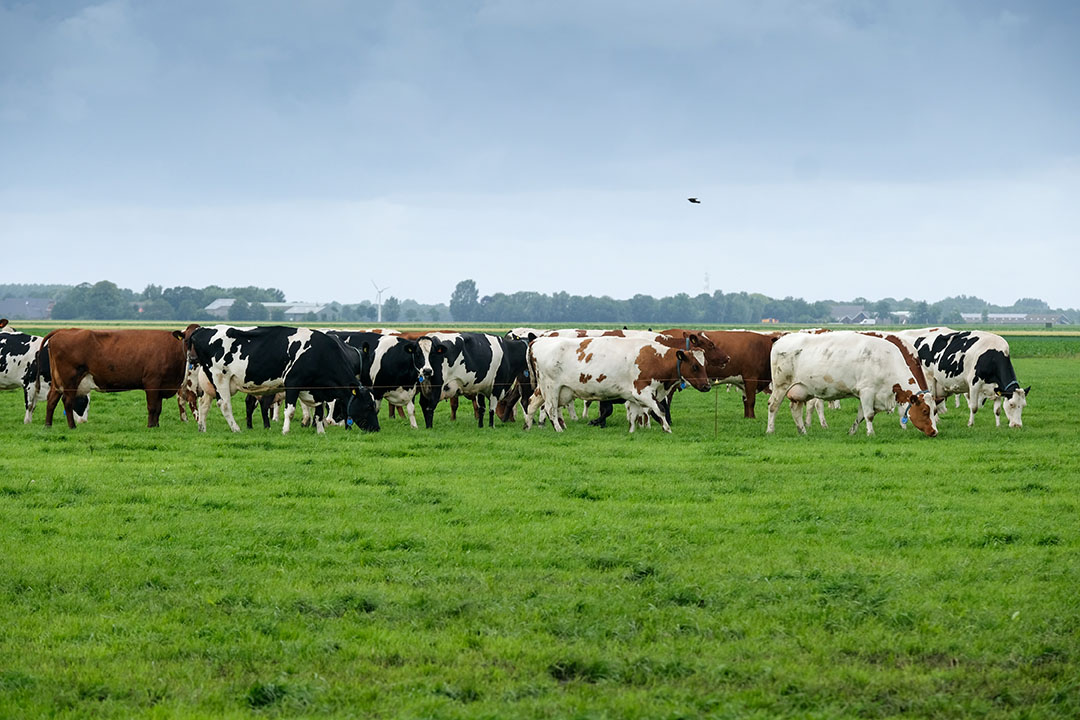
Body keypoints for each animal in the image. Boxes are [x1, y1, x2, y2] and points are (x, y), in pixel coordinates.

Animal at [40, 328, 185, 425]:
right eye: (187, 338)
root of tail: (64, 330)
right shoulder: (152, 383)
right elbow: (153, 407)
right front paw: (150, 426)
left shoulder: (160, 386)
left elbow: (158, 409)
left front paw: (156, 426)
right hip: (70, 380)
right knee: (67, 401)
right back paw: (72, 426)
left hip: (58, 381)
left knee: (52, 400)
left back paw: (48, 425)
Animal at [178, 325, 380, 433]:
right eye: (369, 406)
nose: (376, 429)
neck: (320, 352)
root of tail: (203, 329)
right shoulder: (293, 384)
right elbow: (290, 411)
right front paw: (285, 431)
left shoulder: (316, 389)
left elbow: (319, 411)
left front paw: (321, 432)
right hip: (220, 377)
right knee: (225, 404)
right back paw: (236, 429)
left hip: (210, 382)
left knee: (204, 403)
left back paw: (202, 428)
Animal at [524, 336, 712, 433]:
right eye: (695, 366)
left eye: (704, 365)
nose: (707, 386)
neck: (655, 359)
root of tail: (538, 341)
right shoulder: (643, 392)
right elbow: (660, 410)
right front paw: (667, 428)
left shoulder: (634, 397)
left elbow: (635, 415)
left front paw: (632, 432)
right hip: (551, 388)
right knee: (550, 409)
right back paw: (558, 429)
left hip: (545, 389)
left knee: (532, 404)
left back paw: (528, 426)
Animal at [768, 332, 937, 440]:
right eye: (924, 410)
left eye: (934, 410)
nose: (934, 432)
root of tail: (780, 340)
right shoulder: (867, 391)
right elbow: (869, 415)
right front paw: (871, 434)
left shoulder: (869, 395)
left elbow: (860, 416)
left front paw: (852, 432)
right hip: (781, 385)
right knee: (773, 406)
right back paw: (770, 430)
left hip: (800, 391)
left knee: (795, 410)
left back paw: (802, 431)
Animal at [894, 330, 1028, 431]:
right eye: (1012, 404)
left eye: (1023, 405)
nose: (1017, 425)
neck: (993, 356)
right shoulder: (974, 384)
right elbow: (974, 407)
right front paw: (970, 424)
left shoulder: (996, 388)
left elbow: (998, 410)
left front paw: (998, 425)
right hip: (929, 379)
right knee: (932, 399)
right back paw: (936, 420)